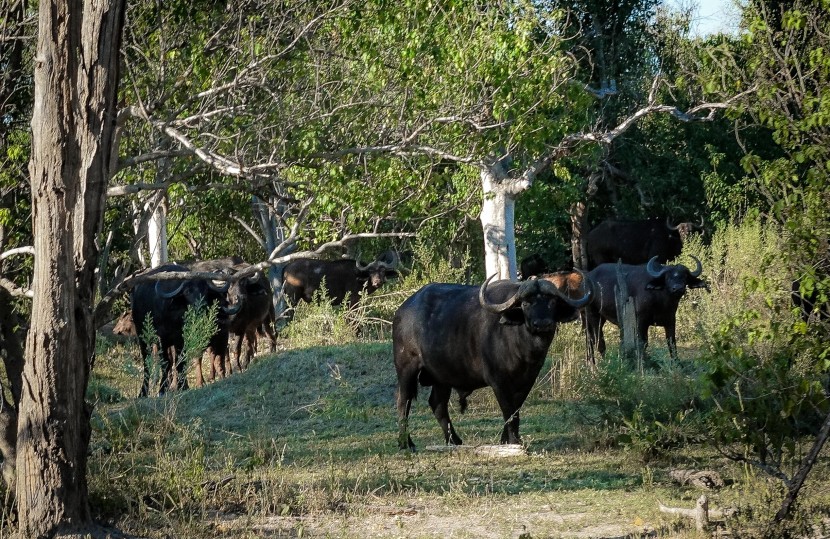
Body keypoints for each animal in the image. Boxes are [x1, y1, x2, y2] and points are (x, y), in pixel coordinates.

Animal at [394, 274, 596, 452]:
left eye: (552, 302)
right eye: (526, 303)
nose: (542, 324)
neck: (521, 347)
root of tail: (402, 311)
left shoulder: (527, 381)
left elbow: (515, 410)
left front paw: (507, 440)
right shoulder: (498, 381)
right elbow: (508, 410)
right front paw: (514, 440)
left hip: (442, 377)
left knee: (437, 404)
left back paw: (454, 440)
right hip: (406, 368)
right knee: (403, 402)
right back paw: (406, 443)